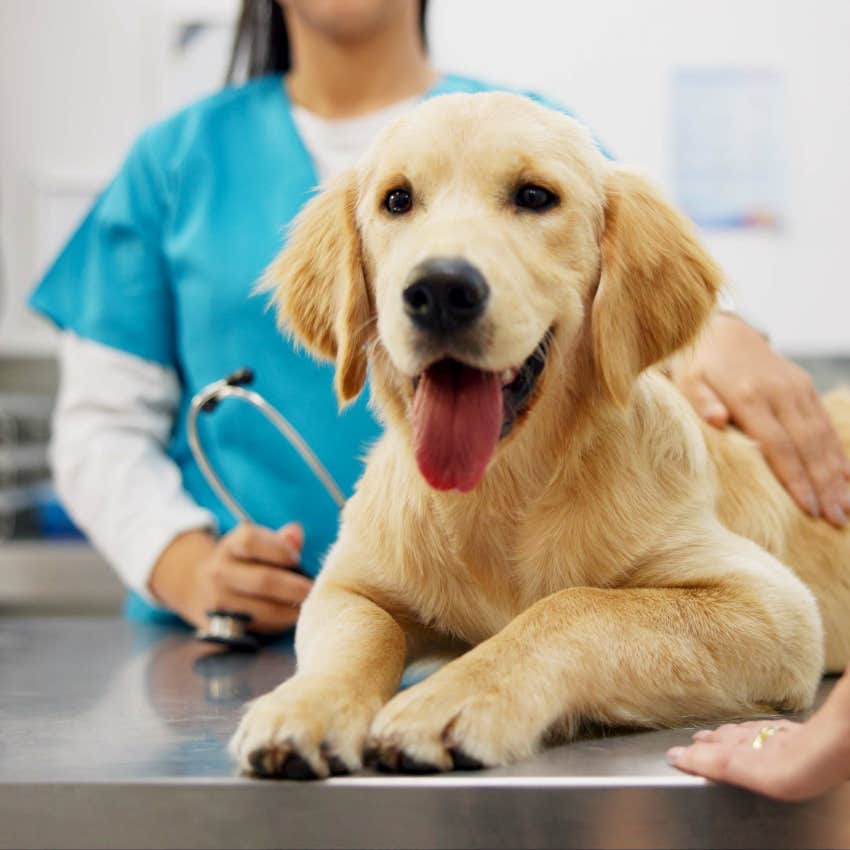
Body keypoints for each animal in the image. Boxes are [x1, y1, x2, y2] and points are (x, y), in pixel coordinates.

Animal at [227, 91, 848, 776]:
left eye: (534, 196)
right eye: (397, 200)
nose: (440, 288)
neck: (500, 490)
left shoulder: (771, 606)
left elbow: (576, 607)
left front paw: (454, 697)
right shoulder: (348, 586)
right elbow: (359, 632)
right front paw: (305, 705)